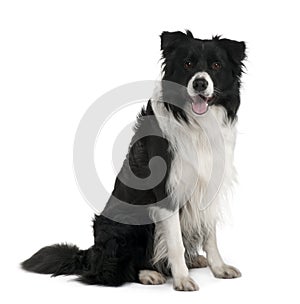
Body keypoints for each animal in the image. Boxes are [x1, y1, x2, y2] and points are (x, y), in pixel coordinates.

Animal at [21, 30, 246, 292]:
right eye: (188, 64)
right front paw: (181, 279)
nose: (200, 83)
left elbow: (210, 236)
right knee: (109, 272)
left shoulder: (208, 186)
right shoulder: (166, 193)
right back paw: (148, 273)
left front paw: (219, 268)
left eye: (216, 66)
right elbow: (175, 243)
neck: (195, 123)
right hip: (127, 222)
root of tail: (90, 255)